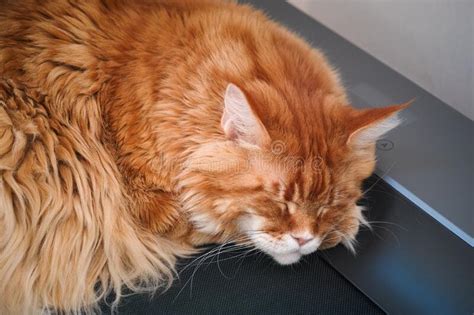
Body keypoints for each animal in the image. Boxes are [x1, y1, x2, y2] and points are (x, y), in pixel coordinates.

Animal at [0, 0, 408, 314]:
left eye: (328, 203)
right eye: (278, 202)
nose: (305, 240)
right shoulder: (153, 211)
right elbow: (219, 226)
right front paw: (351, 224)